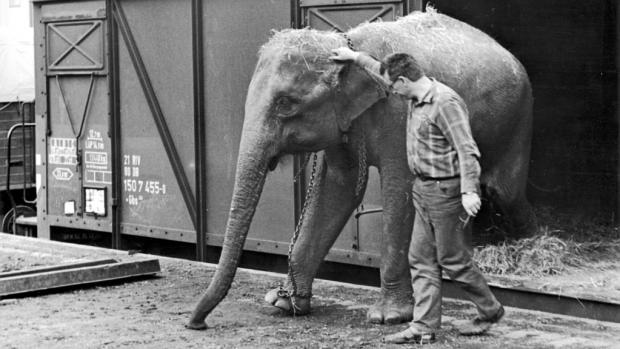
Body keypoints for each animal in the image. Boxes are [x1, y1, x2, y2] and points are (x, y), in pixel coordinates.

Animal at [185, 10, 536, 328]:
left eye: (286, 104)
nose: (196, 323)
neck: (342, 41)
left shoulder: (397, 114)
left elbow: (398, 189)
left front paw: (388, 317)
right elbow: (337, 189)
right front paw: (284, 303)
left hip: (517, 121)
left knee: (505, 192)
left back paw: (528, 244)